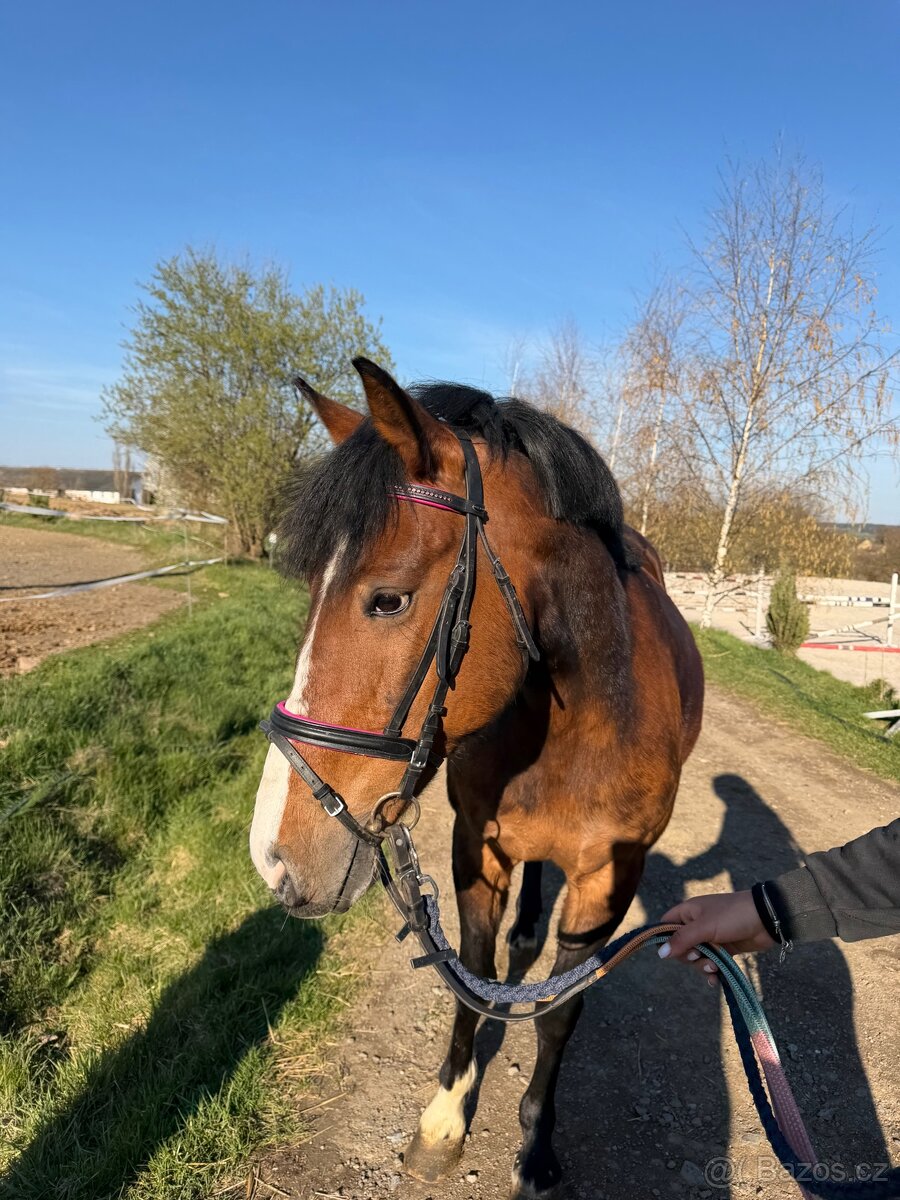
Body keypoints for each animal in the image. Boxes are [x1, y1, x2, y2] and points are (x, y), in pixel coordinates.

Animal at [250, 357, 704, 1199]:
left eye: (388, 599)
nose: (274, 855)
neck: (579, 726)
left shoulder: (609, 882)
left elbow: (558, 1012)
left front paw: (537, 1147)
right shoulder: (477, 846)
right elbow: (475, 970)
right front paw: (443, 1118)